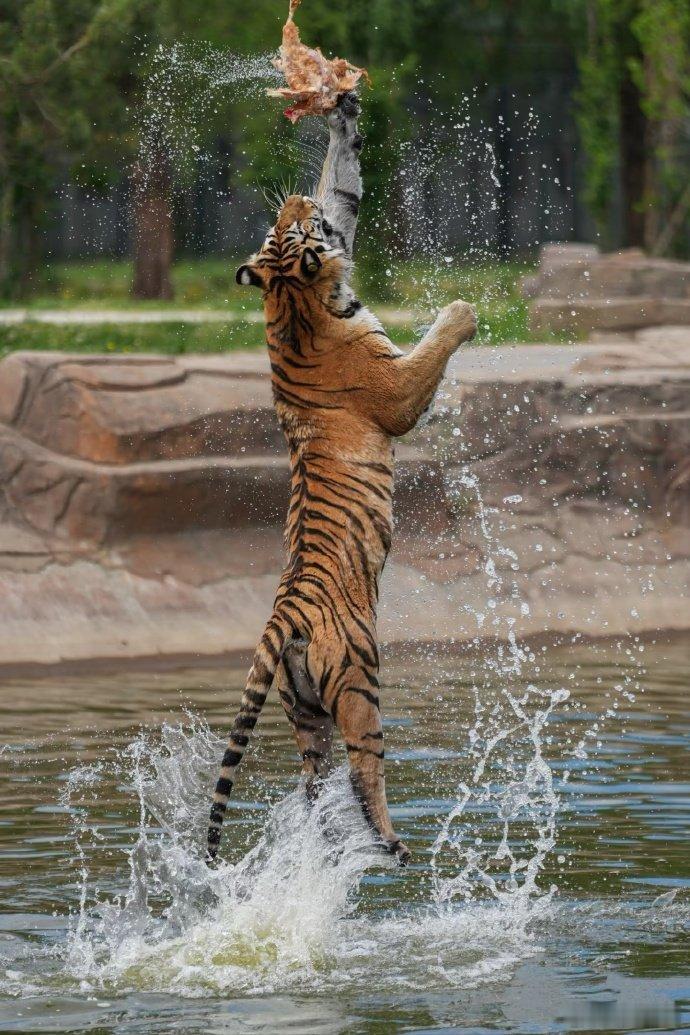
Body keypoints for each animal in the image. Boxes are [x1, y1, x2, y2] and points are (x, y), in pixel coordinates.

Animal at [207, 92, 477, 866]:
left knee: (312, 781)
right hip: (360, 681)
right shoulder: (398, 392)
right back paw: (391, 842)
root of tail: (283, 612)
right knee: (365, 770)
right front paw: (461, 311)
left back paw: (327, 839)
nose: (295, 200)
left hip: (302, 707)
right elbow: (431, 350)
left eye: (289, 221)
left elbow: (347, 189)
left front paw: (342, 111)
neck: (293, 302)